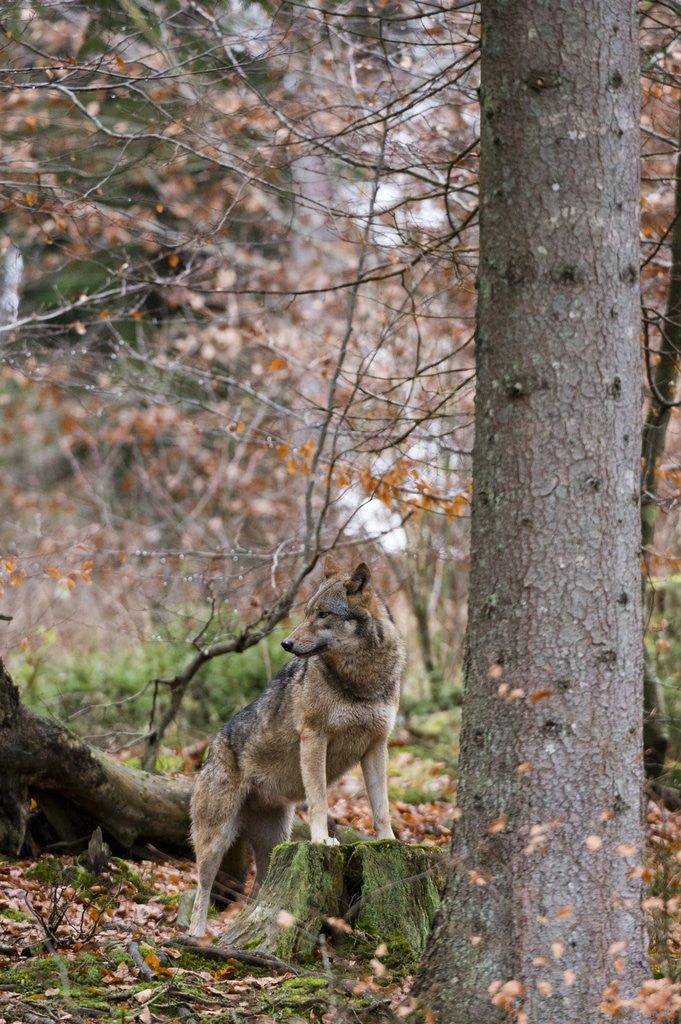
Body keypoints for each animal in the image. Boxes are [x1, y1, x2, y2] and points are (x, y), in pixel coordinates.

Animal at [188, 558, 405, 937]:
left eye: (323, 614)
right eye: (305, 612)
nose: (286, 643)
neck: (360, 679)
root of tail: (211, 750)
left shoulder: (377, 745)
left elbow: (381, 807)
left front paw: (388, 841)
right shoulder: (314, 737)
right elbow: (319, 800)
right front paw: (322, 840)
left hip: (274, 841)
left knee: (258, 890)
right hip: (217, 840)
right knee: (202, 888)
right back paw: (196, 937)